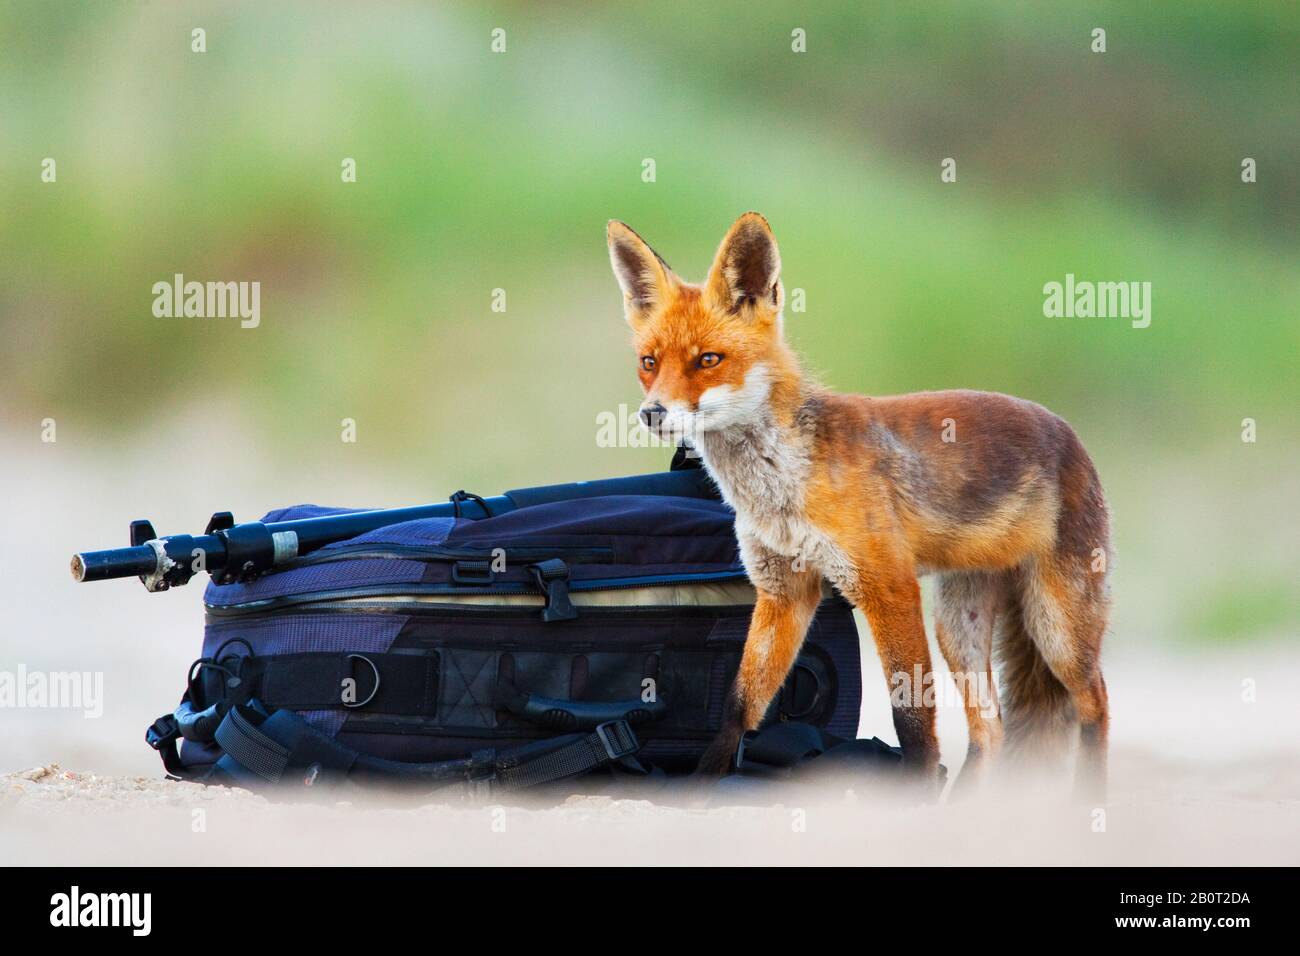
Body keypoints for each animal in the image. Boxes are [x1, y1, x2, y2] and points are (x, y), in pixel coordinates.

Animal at [605, 213, 1107, 796]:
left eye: (708, 360)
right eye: (649, 363)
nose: (652, 413)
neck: (780, 488)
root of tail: (1069, 433)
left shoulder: (888, 587)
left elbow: (912, 720)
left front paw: (913, 795)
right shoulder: (783, 591)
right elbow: (739, 705)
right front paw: (704, 786)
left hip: (1057, 627)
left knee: (1095, 704)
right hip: (958, 628)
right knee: (991, 729)